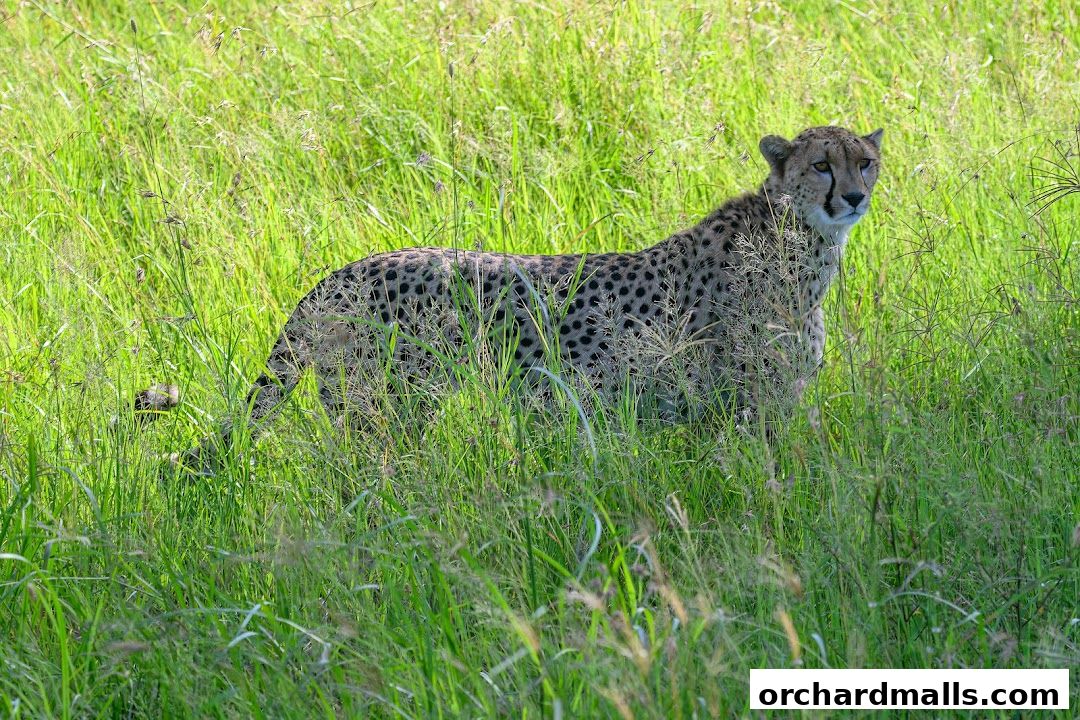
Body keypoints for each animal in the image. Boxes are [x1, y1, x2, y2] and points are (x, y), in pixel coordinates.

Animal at [162, 125, 882, 459]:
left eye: (865, 161)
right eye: (822, 164)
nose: (853, 196)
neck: (799, 241)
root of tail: (344, 269)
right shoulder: (751, 412)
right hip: (385, 415)